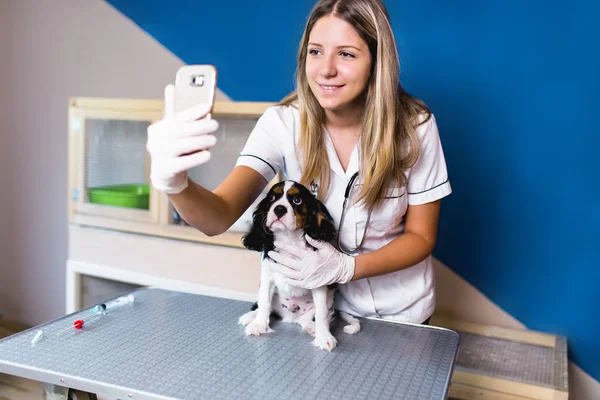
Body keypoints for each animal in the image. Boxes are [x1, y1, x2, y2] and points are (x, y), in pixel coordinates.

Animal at [238, 180, 360, 352]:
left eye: (297, 200)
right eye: (272, 198)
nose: (279, 208)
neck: (289, 239)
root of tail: (290, 317)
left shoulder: (318, 282)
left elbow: (322, 313)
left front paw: (324, 338)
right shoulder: (267, 276)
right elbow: (264, 302)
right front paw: (259, 325)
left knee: (310, 319)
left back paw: (312, 328)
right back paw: (250, 317)